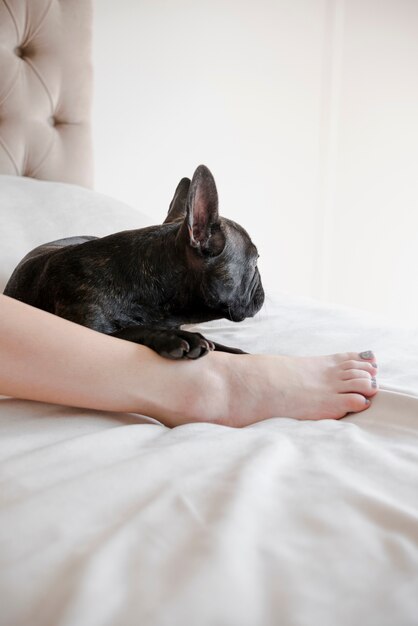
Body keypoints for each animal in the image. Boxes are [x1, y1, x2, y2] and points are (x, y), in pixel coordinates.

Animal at [4, 165, 264, 356]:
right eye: (254, 263)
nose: (261, 289)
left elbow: (221, 346)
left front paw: (239, 353)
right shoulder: (87, 331)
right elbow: (132, 332)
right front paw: (176, 338)